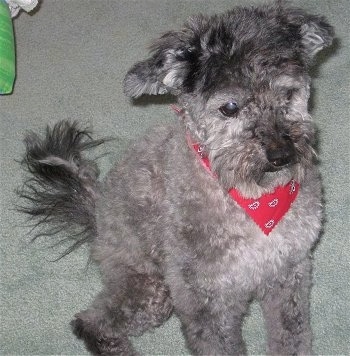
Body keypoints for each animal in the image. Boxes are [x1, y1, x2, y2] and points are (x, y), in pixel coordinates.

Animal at [18, 1, 334, 354]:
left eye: (288, 93)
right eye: (230, 107)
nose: (281, 155)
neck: (251, 200)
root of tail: (98, 211)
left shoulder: (288, 274)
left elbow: (292, 336)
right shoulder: (206, 300)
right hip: (152, 289)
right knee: (89, 322)